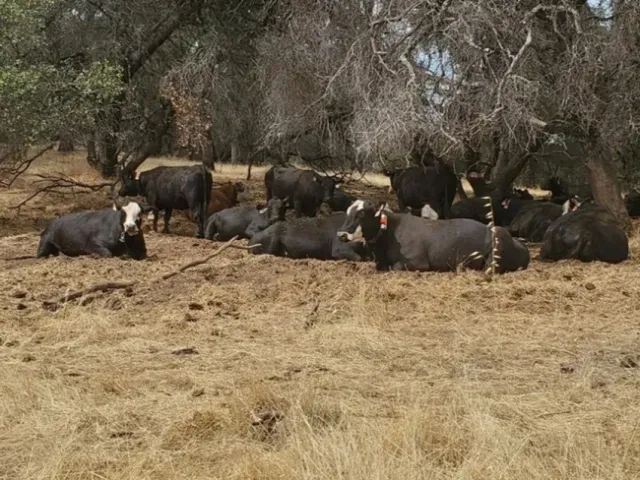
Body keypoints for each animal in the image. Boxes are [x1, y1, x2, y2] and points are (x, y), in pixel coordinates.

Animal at [336, 199, 529, 273]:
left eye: (361, 214)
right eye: (348, 212)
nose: (341, 234)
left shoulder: (417, 262)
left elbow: (394, 267)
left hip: (495, 250)